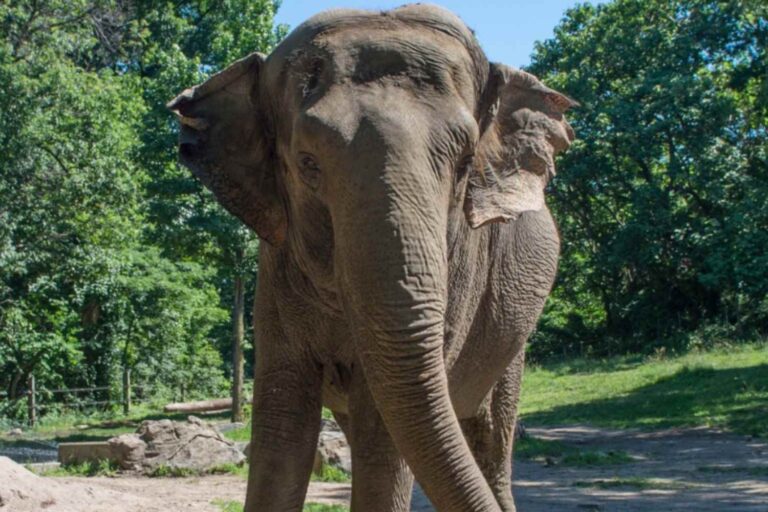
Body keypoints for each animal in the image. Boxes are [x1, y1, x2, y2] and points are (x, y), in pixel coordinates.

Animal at [168, 4, 576, 511]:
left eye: (465, 163)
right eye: (307, 163)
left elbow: (383, 436)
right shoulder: (276, 272)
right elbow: (282, 430)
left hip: (511, 339)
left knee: (487, 439)